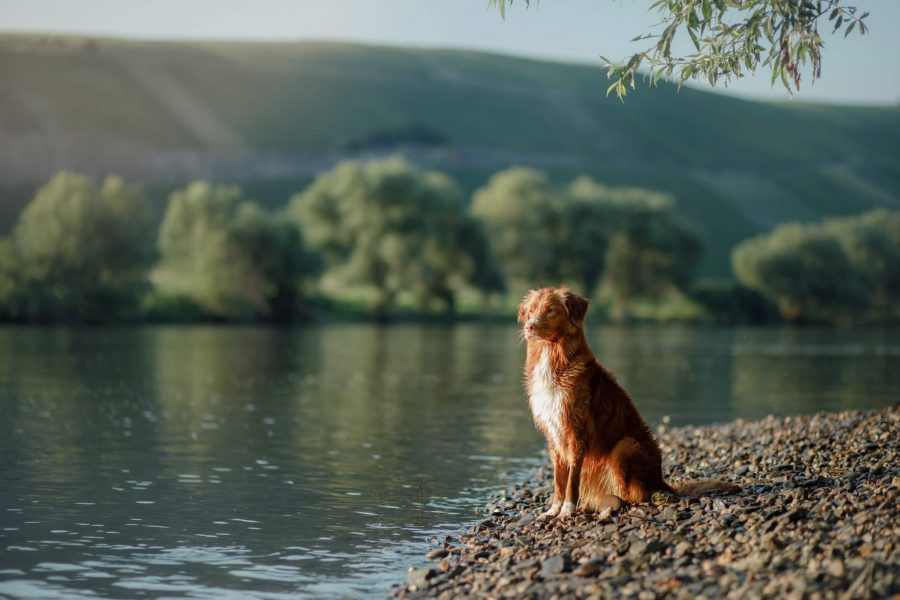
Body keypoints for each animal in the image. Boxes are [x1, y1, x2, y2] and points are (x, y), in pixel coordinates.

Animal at [516, 288, 736, 516]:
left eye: (550, 310)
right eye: (530, 311)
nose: (529, 326)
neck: (552, 354)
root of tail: (660, 479)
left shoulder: (575, 433)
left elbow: (571, 482)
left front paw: (567, 511)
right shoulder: (554, 436)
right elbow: (559, 482)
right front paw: (553, 511)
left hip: (624, 446)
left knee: (635, 496)